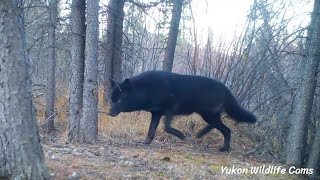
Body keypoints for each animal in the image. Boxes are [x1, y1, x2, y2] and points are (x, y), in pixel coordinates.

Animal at [109, 71, 256, 151]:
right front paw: (146, 142)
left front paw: (181, 136)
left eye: (119, 101)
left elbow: (167, 128)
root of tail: (226, 89)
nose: (109, 113)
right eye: (111, 99)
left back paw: (211, 140)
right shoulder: (156, 113)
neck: (146, 89)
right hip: (209, 115)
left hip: (208, 115)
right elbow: (151, 131)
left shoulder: (169, 111)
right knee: (224, 129)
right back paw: (217, 144)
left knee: (224, 128)